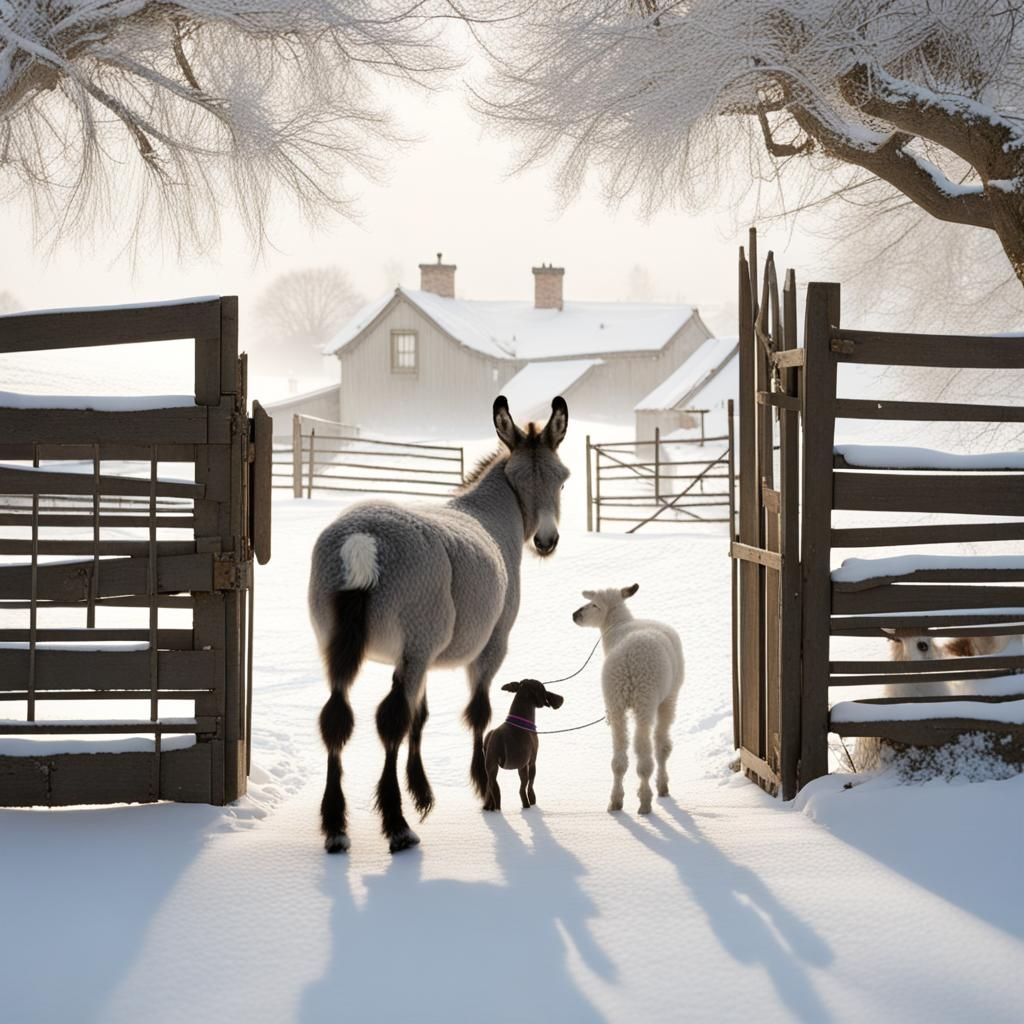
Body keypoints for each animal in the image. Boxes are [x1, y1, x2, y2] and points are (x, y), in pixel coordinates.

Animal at [482, 680, 564, 812]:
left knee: (491, 788)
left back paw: (488, 807)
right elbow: (530, 785)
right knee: (508, 791)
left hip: (490, 768)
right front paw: (531, 802)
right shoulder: (532, 761)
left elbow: (524, 787)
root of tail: (496, 738)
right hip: (507, 767)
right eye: (544, 689)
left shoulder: (522, 765)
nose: (560, 699)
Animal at [572, 584, 684, 814]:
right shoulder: (668, 698)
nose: (575, 615)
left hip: (616, 701)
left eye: (593, 604)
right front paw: (662, 786)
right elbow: (662, 746)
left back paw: (617, 800)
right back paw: (646, 799)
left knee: (620, 758)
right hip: (646, 700)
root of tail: (629, 666)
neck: (619, 625)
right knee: (646, 751)